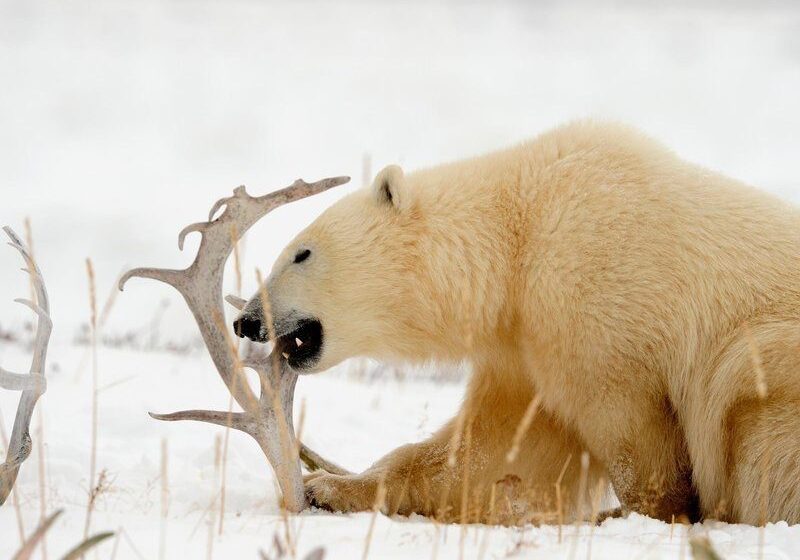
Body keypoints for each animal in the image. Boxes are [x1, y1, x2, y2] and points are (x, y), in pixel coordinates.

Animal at [234, 121, 800, 525]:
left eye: (301, 252)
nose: (245, 319)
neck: (519, 234)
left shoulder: (590, 291)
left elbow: (634, 437)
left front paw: (645, 512)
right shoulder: (523, 343)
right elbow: (497, 453)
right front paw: (329, 488)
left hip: (768, 363)